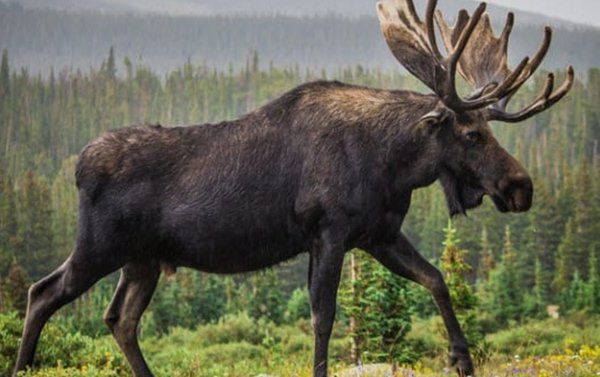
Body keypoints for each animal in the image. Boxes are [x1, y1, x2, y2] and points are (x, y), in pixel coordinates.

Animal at [14, 0, 576, 376]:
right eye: (471, 133)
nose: (521, 187)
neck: (391, 163)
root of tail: (78, 166)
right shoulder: (328, 233)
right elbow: (323, 316)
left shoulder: (377, 235)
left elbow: (436, 278)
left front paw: (462, 359)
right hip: (100, 246)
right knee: (43, 292)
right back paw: (22, 366)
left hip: (143, 260)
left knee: (119, 319)